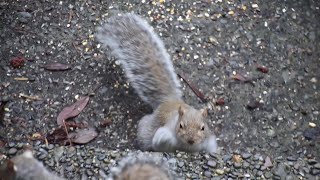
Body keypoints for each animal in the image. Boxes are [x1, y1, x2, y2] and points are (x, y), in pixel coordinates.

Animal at [96, 12, 218, 153]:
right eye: (181, 125)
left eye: (203, 128)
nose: (191, 140)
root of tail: (169, 101)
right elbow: (160, 141)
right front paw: (164, 137)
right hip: (147, 129)